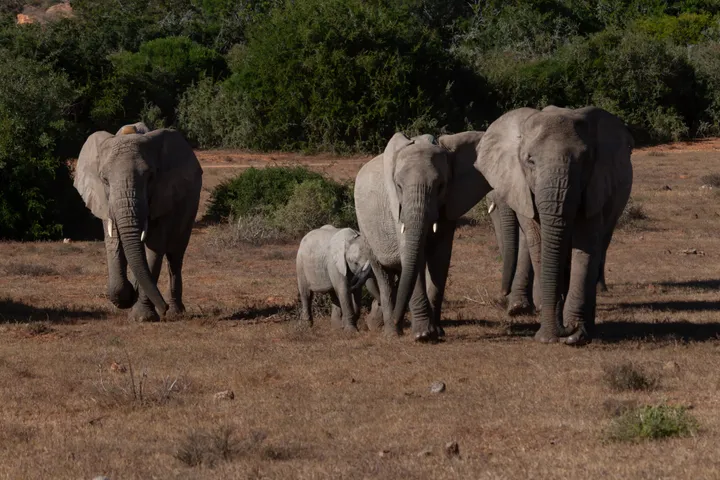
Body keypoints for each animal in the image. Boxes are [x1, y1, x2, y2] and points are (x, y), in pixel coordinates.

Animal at [74, 125, 203, 321]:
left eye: (150, 177)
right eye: (104, 180)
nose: (163, 307)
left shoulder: (163, 197)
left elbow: (154, 247)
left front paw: (142, 317)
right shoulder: (104, 201)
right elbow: (113, 243)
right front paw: (128, 295)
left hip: (190, 205)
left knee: (175, 255)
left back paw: (175, 311)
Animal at [354, 131, 491, 341]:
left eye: (440, 186)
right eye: (399, 186)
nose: (398, 319)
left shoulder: (448, 204)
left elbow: (440, 258)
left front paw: (436, 332)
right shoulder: (396, 207)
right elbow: (412, 257)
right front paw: (423, 335)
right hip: (365, 227)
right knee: (383, 275)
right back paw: (392, 332)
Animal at [475, 105, 633, 345]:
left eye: (585, 160)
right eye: (530, 161)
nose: (565, 327)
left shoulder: (594, 185)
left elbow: (585, 245)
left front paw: (575, 335)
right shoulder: (522, 187)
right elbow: (539, 242)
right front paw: (548, 335)